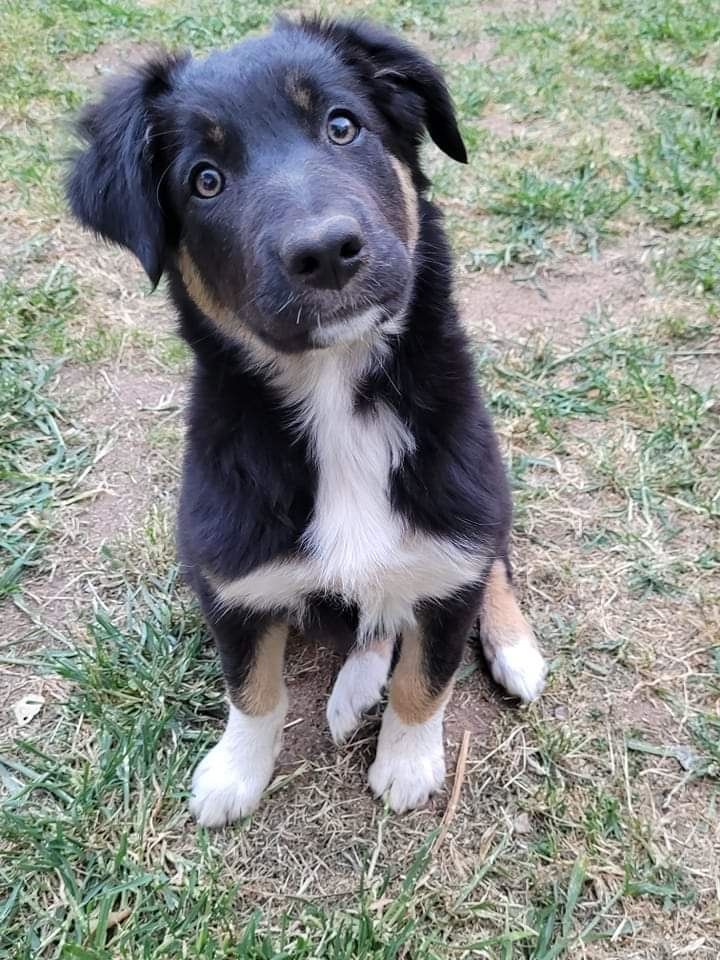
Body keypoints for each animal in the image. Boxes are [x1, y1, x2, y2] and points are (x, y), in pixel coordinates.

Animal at [70, 15, 548, 824]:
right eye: (205, 179)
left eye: (342, 126)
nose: (325, 250)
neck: (336, 399)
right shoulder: (228, 576)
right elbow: (252, 686)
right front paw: (234, 772)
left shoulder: (455, 540)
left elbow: (429, 674)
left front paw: (408, 762)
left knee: (495, 567)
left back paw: (512, 647)